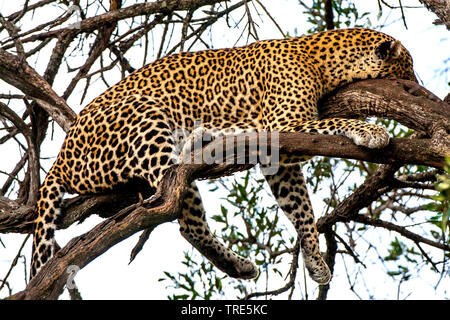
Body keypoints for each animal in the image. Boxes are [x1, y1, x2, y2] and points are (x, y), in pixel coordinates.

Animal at [31, 26, 416, 282]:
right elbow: (336, 121)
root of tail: (60, 158)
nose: (418, 84)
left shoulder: (280, 160)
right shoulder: (285, 122)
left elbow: (300, 208)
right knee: (181, 214)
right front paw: (372, 131)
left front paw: (315, 258)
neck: (318, 57)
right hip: (145, 121)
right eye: (408, 70)